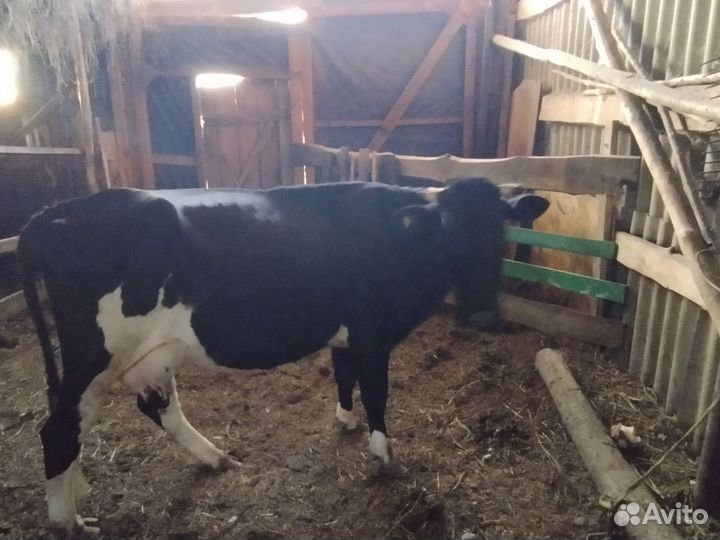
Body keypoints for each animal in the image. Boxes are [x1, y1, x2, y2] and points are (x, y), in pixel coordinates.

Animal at [17, 178, 548, 534]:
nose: (484, 314)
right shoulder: (372, 333)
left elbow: (343, 377)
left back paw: (213, 458)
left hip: (145, 356)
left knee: (155, 409)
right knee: (59, 430)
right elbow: (376, 393)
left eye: (500, 232)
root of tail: (60, 211)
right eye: (449, 231)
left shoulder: (346, 335)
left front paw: (344, 421)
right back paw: (69, 522)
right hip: (93, 357)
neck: (399, 238)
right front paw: (384, 455)